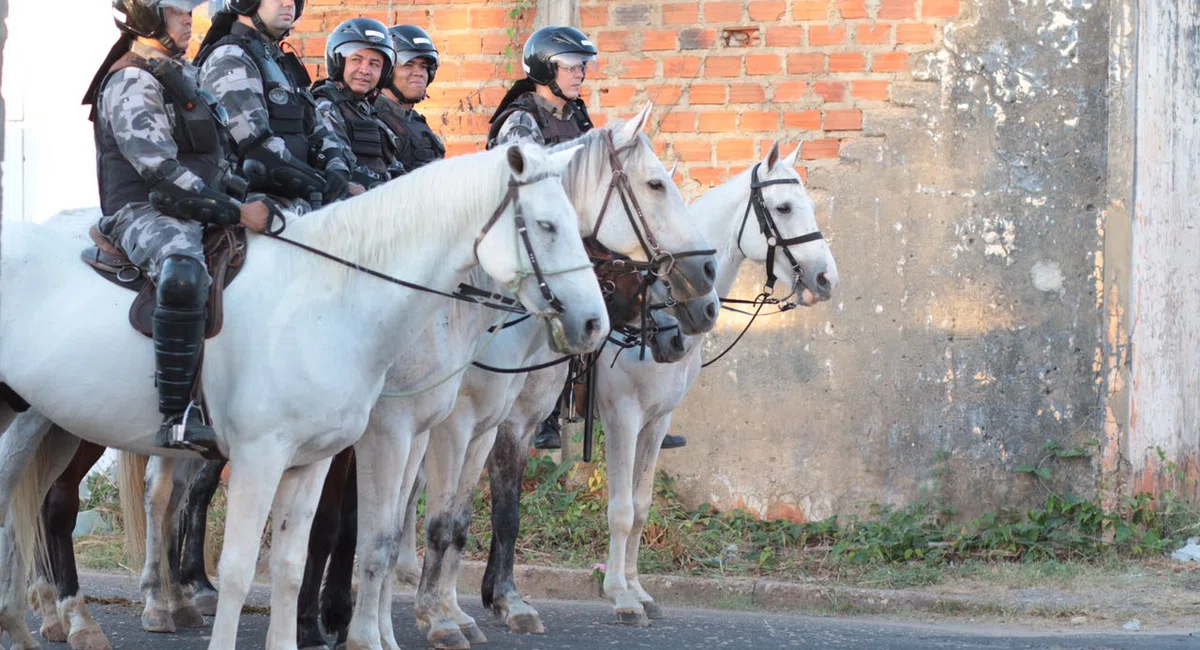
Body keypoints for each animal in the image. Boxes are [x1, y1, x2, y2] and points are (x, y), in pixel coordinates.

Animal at [0, 143, 609, 650]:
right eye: (547, 225)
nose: (593, 323)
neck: (326, 300)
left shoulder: (313, 460)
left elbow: (293, 564)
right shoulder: (267, 456)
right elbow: (243, 567)